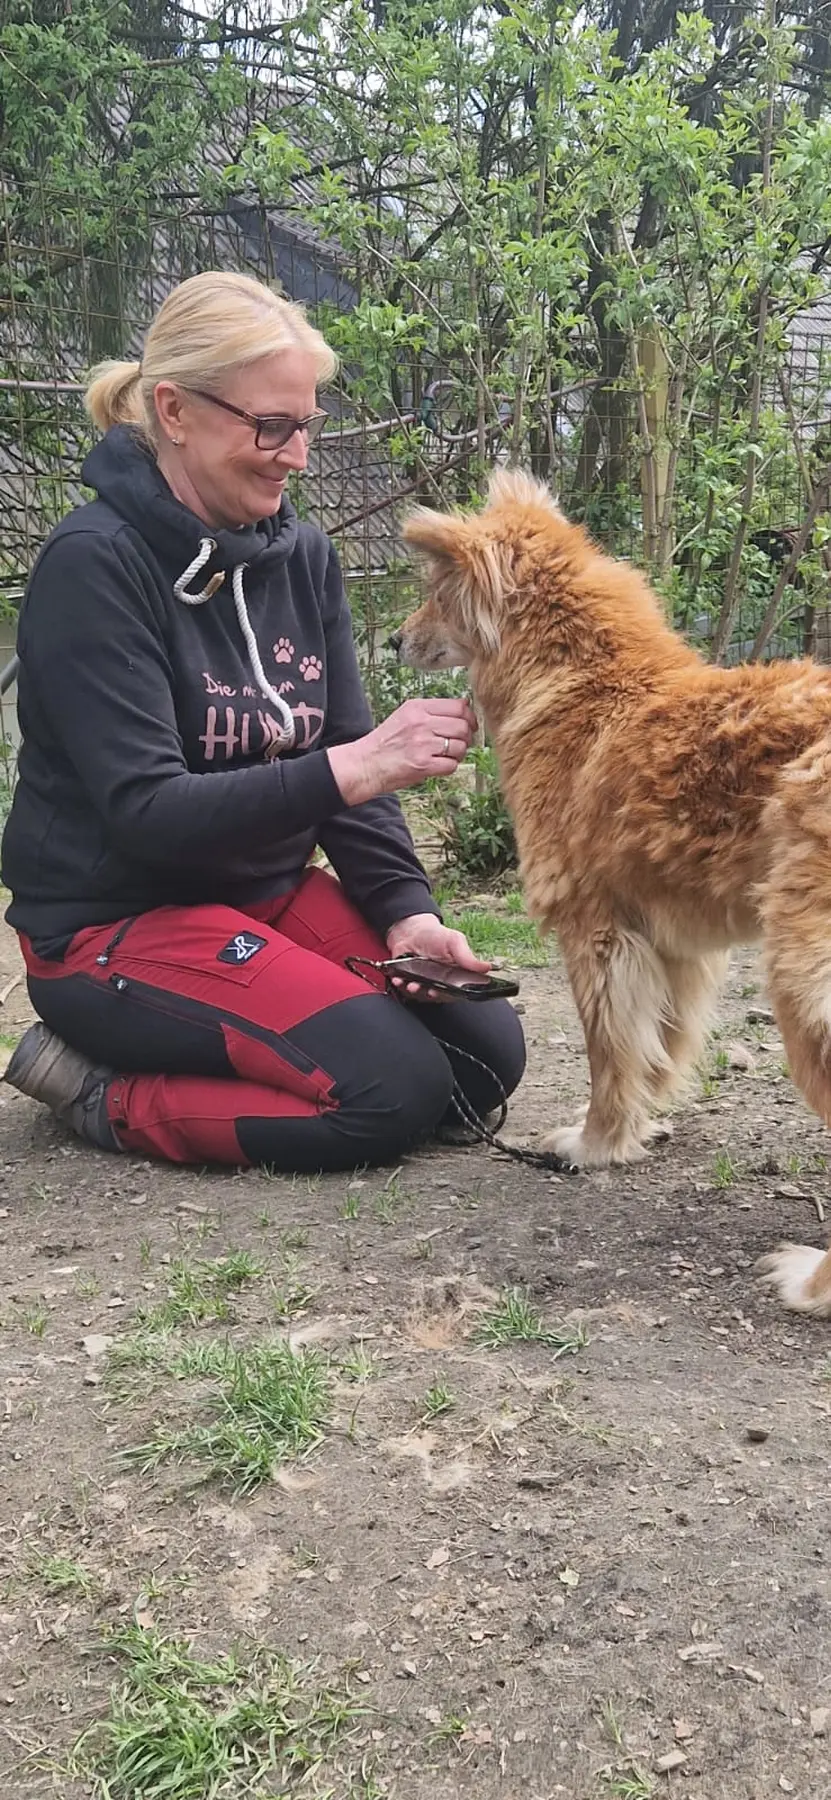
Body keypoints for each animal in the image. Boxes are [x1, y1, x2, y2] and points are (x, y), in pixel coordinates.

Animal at [393, 471, 831, 1317]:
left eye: (434, 592)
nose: (393, 642)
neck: (582, 683)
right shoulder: (672, 945)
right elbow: (657, 1046)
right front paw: (639, 1128)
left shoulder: (594, 932)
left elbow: (607, 1053)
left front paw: (594, 1144)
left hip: (800, 982)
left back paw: (810, 1281)